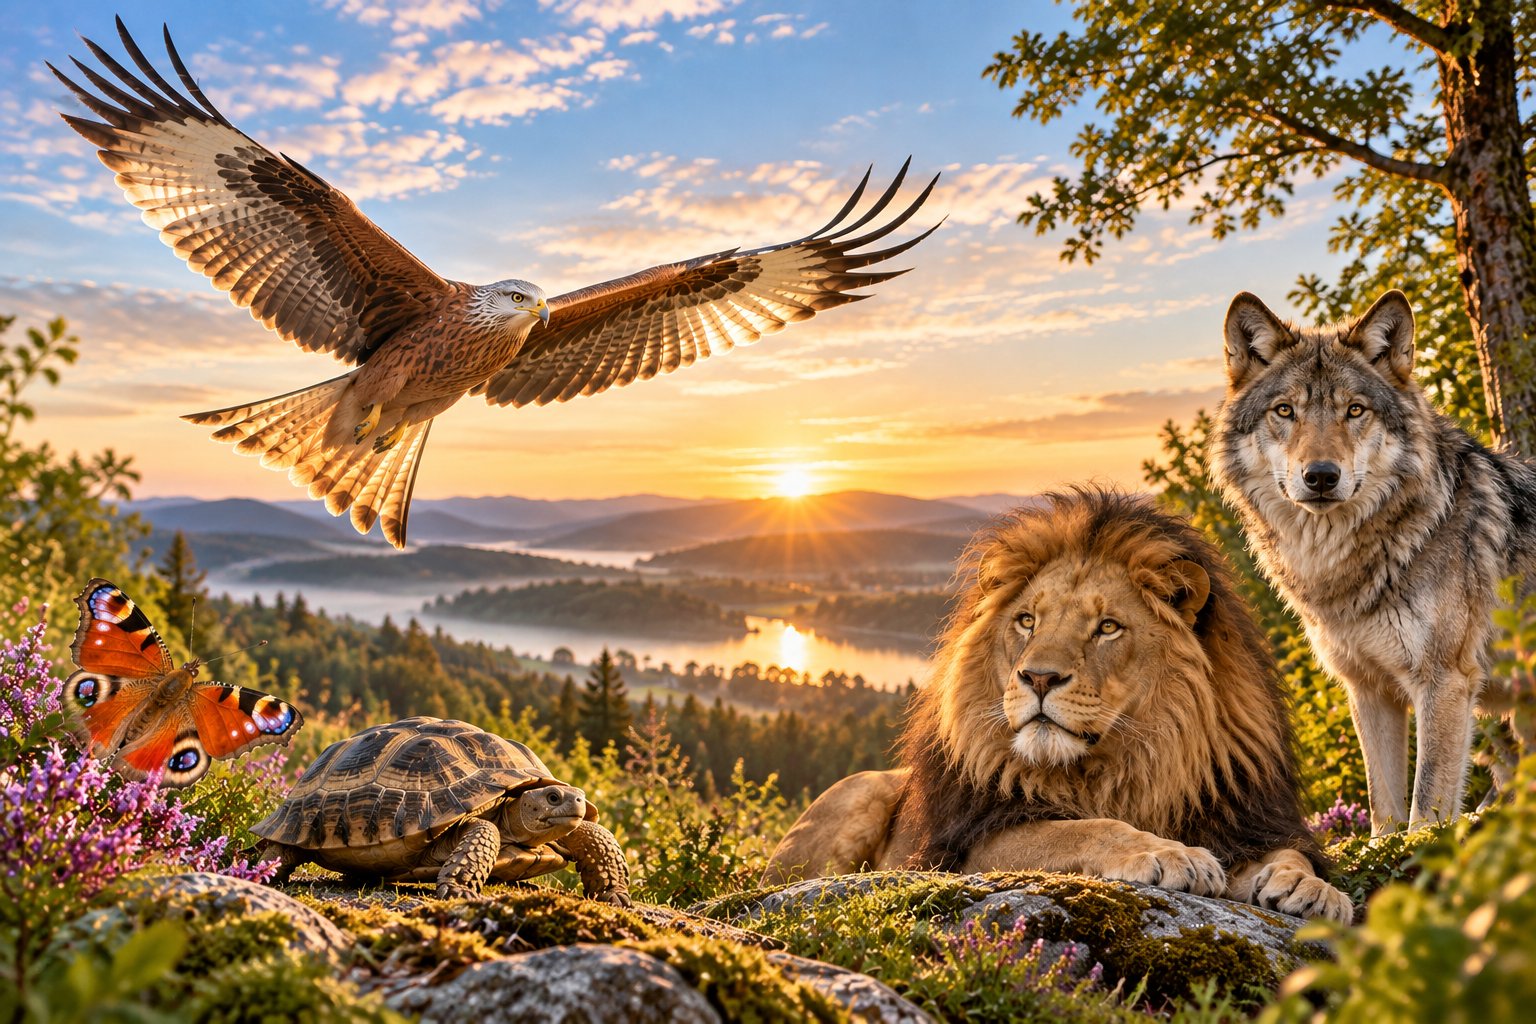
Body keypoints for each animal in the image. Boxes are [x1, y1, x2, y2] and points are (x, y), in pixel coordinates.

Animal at [762, 486, 1353, 923]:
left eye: (1108, 627)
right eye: (1027, 621)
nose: (1038, 677)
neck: (1132, 767)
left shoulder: (1244, 817)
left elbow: (1289, 852)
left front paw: (1310, 888)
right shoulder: (978, 845)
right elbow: (1081, 827)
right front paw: (1169, 853)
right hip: (857, 796)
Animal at [1209, 289, 1532, 833]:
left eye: (1354, 410)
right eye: (1285, 410)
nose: (1321, 475)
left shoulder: (1444, 682)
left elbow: (1425, 809)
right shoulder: (1366, 689)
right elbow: (1384, 809)